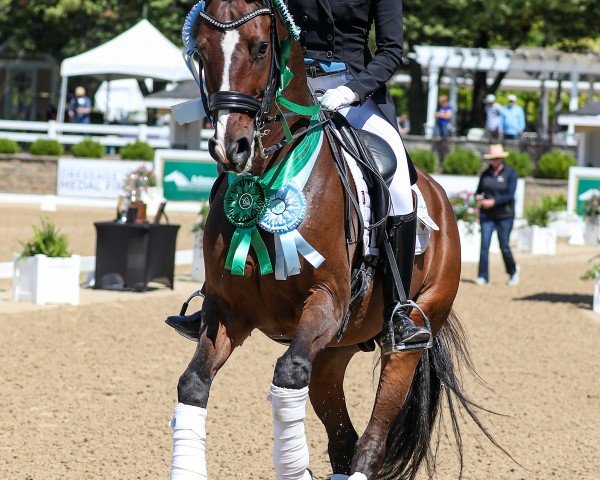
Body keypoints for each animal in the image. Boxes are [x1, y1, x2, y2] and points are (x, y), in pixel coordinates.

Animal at [168, 0, 488, 480]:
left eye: (261, 47)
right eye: (201, 51)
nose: (232, 147)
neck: (270, 178)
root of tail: (439, 196)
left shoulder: (328, 300)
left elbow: (287, 374)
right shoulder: (228, 311)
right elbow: (193, 384)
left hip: (407, 335)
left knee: (371, 440)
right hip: (337, 349)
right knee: (342, 438)